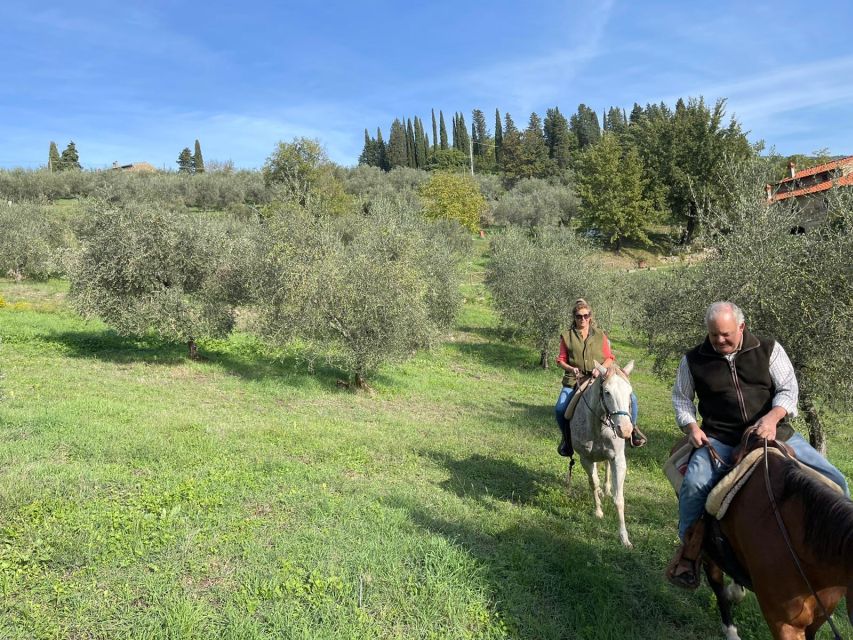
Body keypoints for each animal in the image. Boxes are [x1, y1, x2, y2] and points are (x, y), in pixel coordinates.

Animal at [564, 362, 632, 548]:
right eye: (607, 392)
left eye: (630, 392)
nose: (625, 430)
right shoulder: (586, 459)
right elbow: (593, 483)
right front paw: (598, 512)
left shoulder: (618, 459)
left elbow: (619, 498)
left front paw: (624, 538)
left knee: (607, 467)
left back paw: (607, 488)